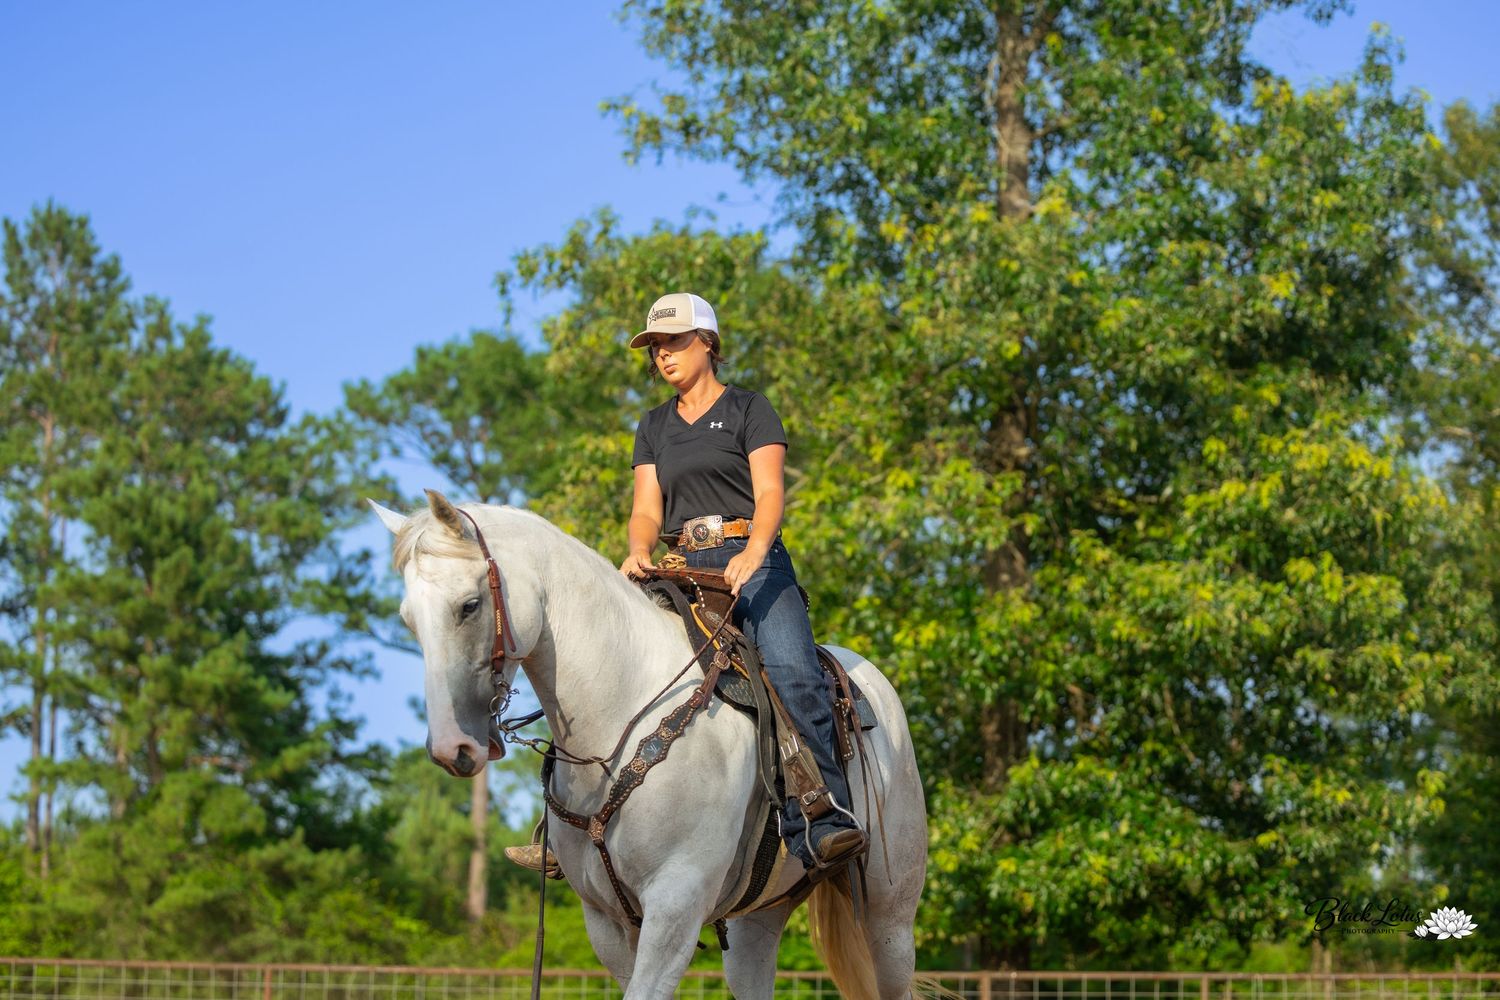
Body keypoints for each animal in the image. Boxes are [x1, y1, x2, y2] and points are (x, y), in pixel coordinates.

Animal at [369, 490, 929, 1000]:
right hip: (759, 919)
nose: (451, 747)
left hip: (890, 917)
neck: (622, 711)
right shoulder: (608, 922)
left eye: (469, 606)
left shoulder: (675, 906)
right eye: (408, 618)